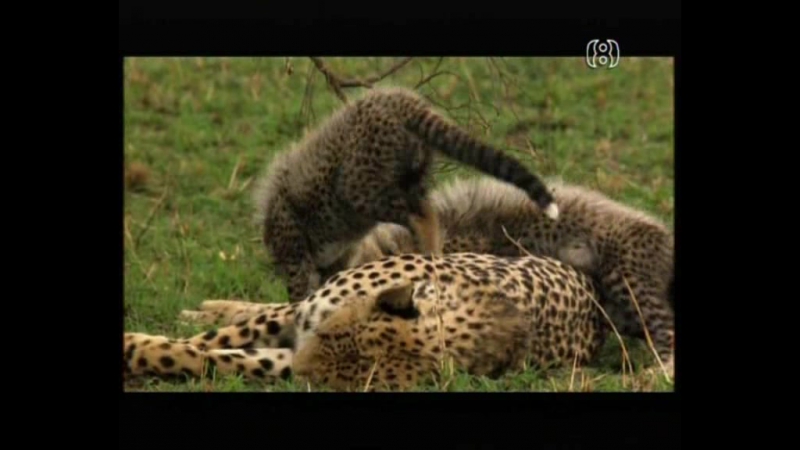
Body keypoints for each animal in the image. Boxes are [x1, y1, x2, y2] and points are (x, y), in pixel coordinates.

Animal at [122, 253, 616, 390]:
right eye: (332, 332)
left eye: (328, 383)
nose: (302, 361)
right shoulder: (305, 315)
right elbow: (213, 339)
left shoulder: (285, 357)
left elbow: (203, 357)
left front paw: (139, 350)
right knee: (259, 309)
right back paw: (205, 306)